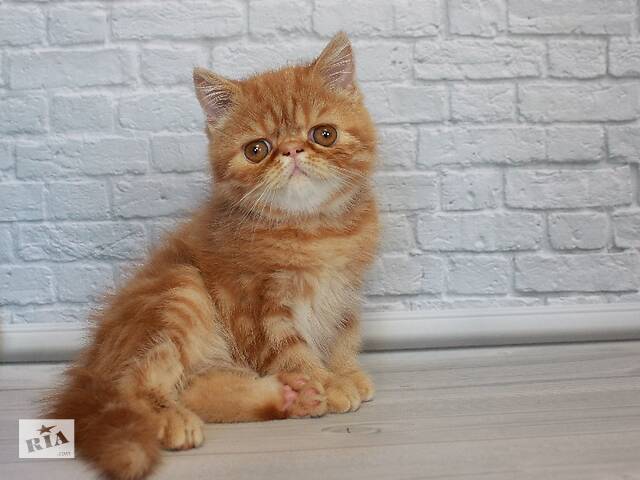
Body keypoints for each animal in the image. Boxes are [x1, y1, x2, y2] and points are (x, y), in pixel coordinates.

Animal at [44, 32, 379, 480]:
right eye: (257, 149)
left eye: (323, 134)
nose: (292, 150)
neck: (314, 230)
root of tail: (91, 364)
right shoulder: (252, 300)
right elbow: (290, 348)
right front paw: (325, 382)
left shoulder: (346, 286)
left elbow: (343, 331)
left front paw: (343, 372)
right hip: (181, 287)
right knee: (134, 383)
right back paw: (171, 418)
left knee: (196, 387)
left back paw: (286, 398)